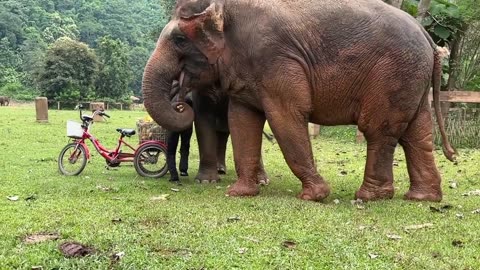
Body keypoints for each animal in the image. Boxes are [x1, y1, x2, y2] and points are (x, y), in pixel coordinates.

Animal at [142, 0, 454, 201]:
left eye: (180, 39)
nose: (181, 101)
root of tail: (428, 37)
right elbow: (242, 121)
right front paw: (239, 194)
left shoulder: (276, 58)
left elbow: (286, 117)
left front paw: (315, 196)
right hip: (411, 79)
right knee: (417, 134)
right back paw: (421, 198)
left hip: (393, 73)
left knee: (379, 131)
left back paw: (370, 196)